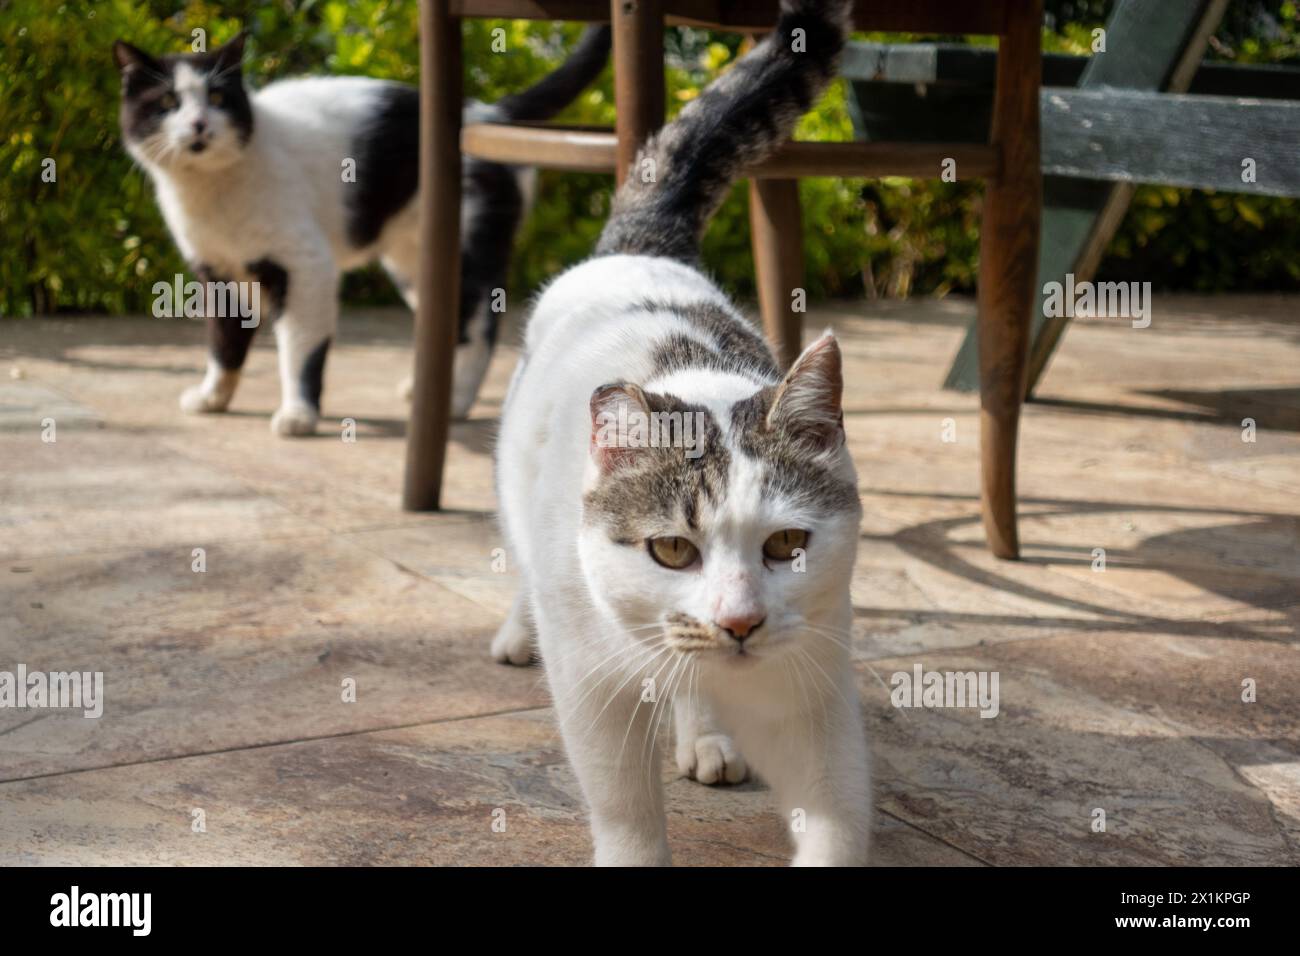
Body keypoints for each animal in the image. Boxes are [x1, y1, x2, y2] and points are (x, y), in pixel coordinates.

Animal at [111, 26, 608, 437]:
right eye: (167, 104)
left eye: (217, 98)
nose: (198, 125)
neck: (211, 190)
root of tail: (488, 113)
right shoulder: (218, 272)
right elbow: (223, 342)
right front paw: (214, 396)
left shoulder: (306, 266)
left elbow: (299, 348)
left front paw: (298, 414)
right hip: (414, 263)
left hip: (470, 248)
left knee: (479, 328)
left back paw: (457, 400)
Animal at [491, 0, 868, 868]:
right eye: (669, 550)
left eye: (787, 544)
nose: (738, 623)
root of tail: (640, 248)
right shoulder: (593, 685)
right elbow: (624, 803)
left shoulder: (811, 680)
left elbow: (835, 812)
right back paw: (518, 633)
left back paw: (706, 737)